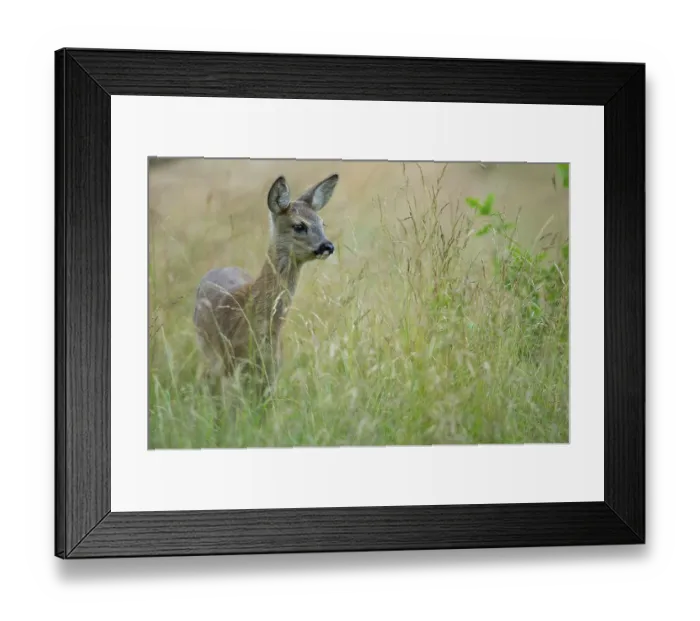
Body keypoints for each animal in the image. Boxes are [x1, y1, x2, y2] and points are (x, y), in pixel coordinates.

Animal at [193, 173, 339, 398]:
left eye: (323, 223)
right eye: (299, 225)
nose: (328, 246)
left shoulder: (272, 372)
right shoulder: (233, 367)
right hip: (210, 355)